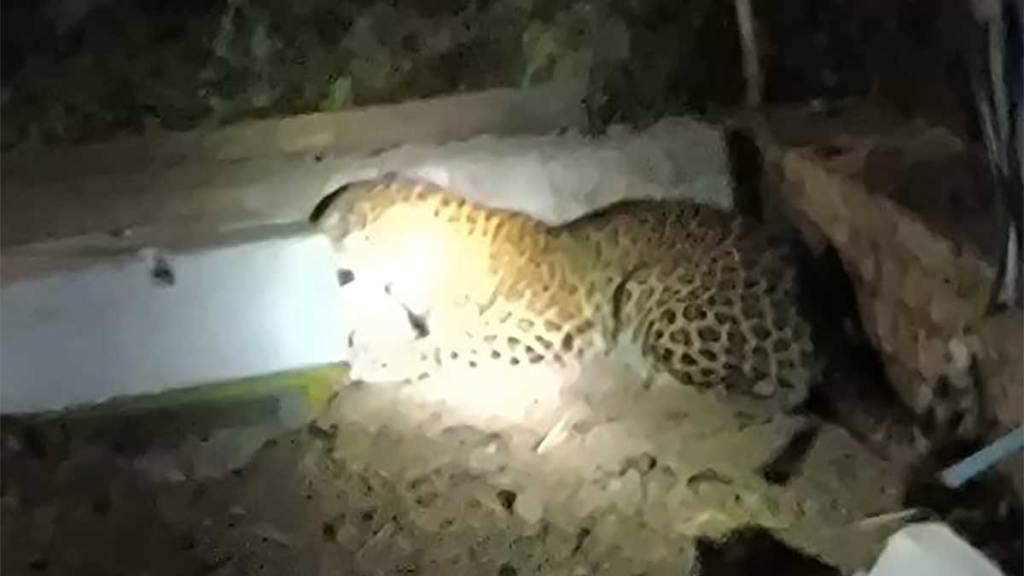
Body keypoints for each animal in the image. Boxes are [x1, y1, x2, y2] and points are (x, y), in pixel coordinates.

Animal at [311, 173, 817, 412]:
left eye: (337, 221)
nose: (314, 239)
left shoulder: (543, 326)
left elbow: (456, 344)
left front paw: (379, 358)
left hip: (652, 290)